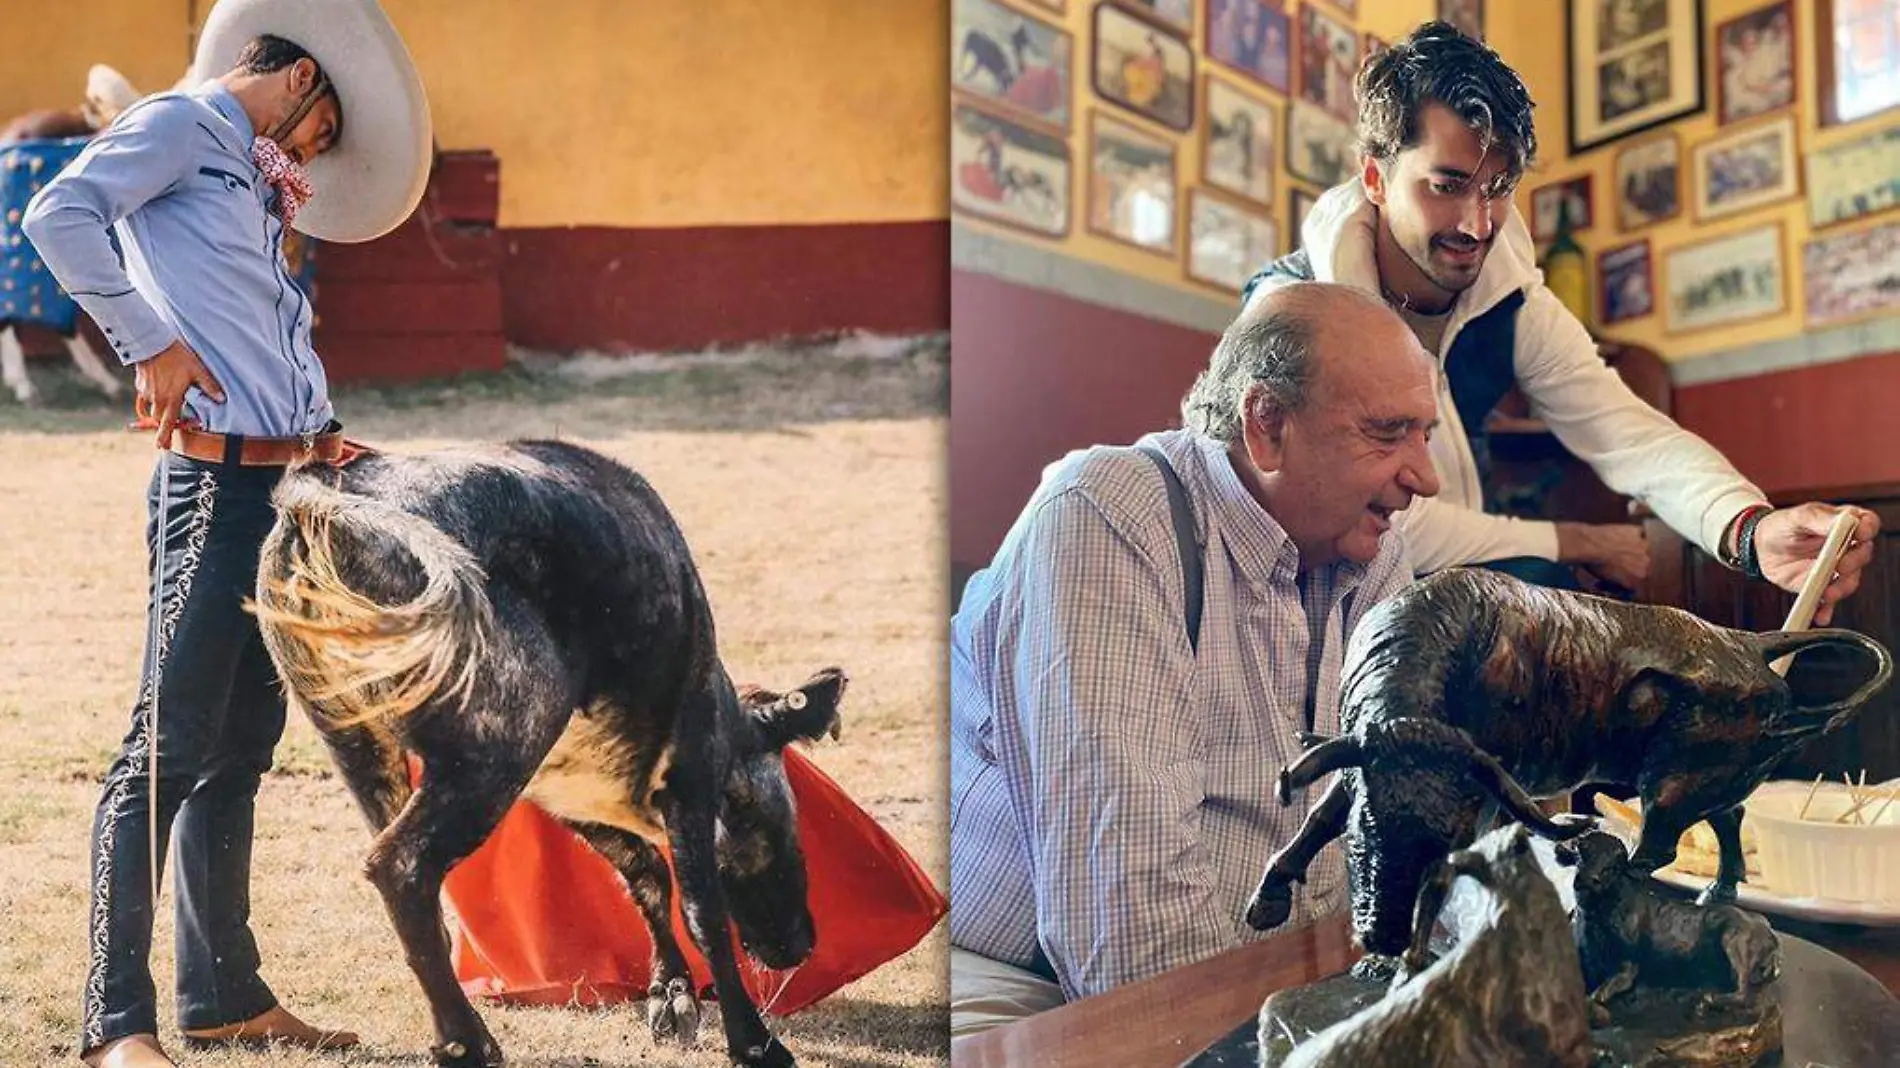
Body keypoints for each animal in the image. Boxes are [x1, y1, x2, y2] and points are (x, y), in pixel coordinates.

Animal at [252, 437, 847, 1056]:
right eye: (779, 818)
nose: (802, 942)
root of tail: (327, 495)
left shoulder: (563, 794)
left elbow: (644, 872)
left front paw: (672, 994)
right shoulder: (689, 775)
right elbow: (701, 907)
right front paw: (753, 1041)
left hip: (357, 743)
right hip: (495, 753)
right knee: (402, 867)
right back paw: (468, 1044)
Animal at [1246, 570, 1884, 969]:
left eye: (1441, 844)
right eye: (1367, 828)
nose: (1381, 934)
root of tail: (1750, 643)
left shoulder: (1483, 797)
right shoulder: (1359, 767)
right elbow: (1317, 820)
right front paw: (1270, 900)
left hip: (1671, 785)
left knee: (1659, 848)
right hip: (1708, 777)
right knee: (1730, 818)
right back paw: (1717, 890)